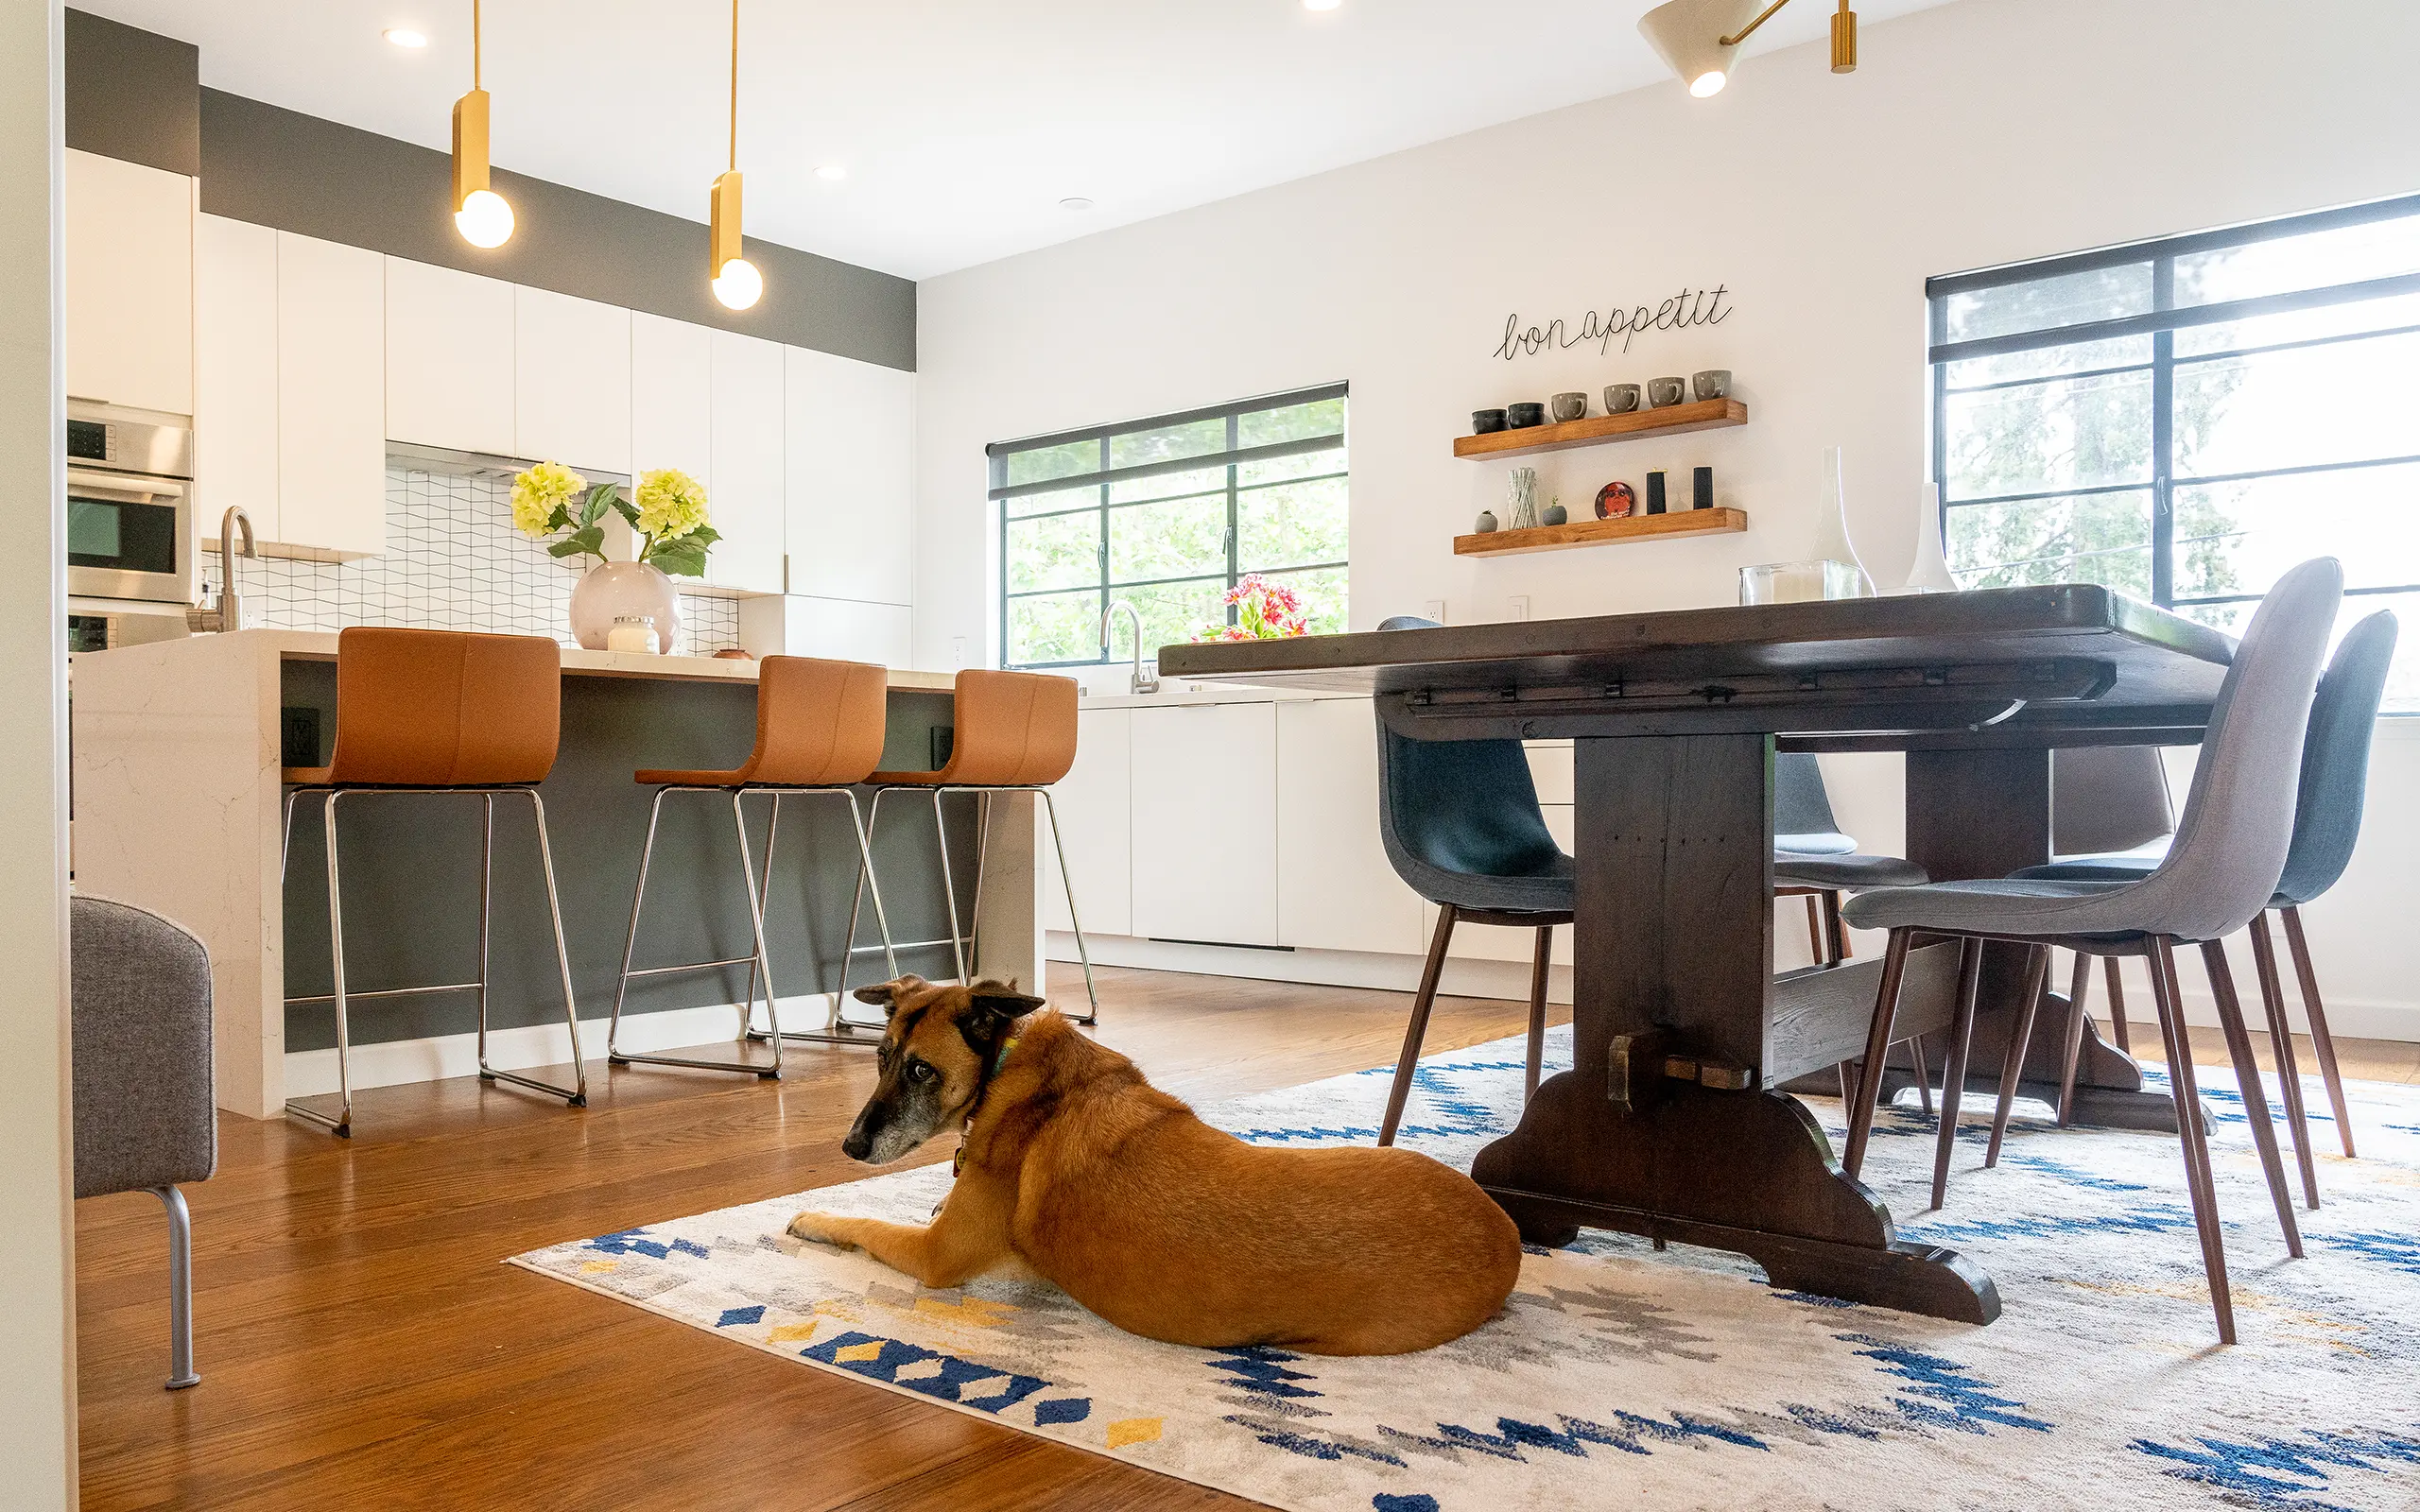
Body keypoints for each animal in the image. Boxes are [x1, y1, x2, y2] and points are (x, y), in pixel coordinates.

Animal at [784, 977, 1519, 1354]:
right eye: (881, 1059)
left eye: (921, 1071)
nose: (850, 1148)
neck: (1010, 1067)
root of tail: (1507, 1238)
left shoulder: (936, 1255)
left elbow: (864, 1224)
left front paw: (813, 1217)